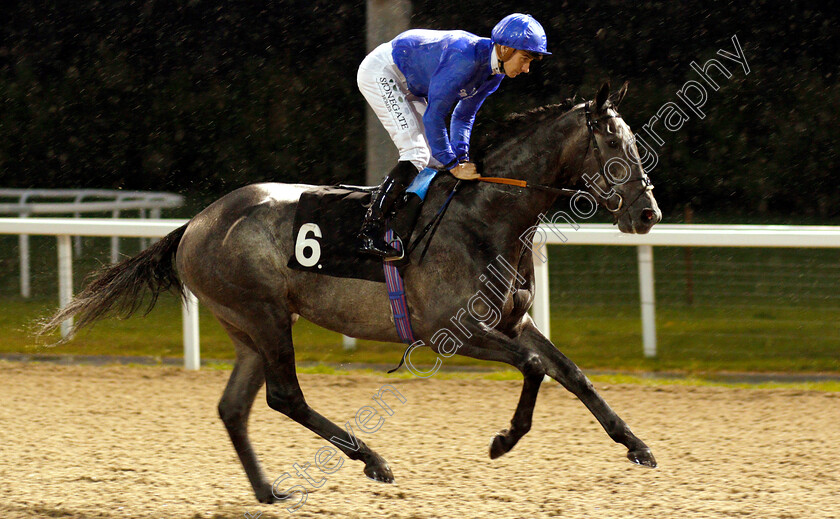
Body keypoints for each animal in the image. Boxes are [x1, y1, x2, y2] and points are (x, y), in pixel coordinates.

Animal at [41, 82, 664, 504]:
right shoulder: (451, 334)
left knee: (235, 406)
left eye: (635, 141)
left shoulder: (513, 323)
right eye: (613, 143)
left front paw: (637, 445)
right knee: (284, 397)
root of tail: (196, 223)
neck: (485, 216)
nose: (647, 214)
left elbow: (572, 373)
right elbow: (536, 368)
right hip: (265, 315)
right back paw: (373, 461)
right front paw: (504, 441)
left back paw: (268, 491)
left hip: (246, 327)